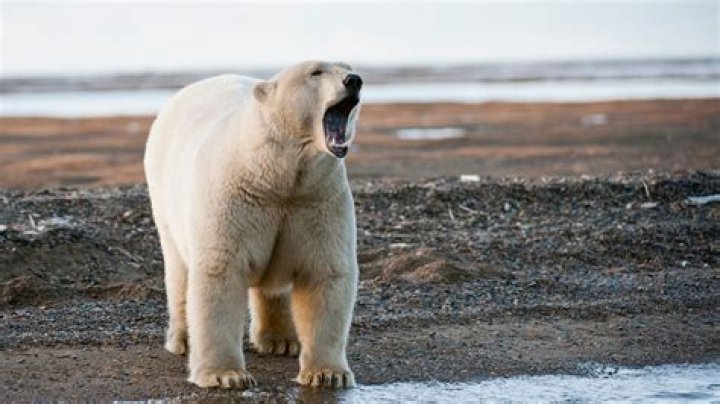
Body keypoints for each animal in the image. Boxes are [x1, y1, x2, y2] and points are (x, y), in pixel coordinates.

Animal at [143, 61, 363, 389]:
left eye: (347, 67)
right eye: (316, 72)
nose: (354, 80)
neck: (275, 173)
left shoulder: (316, 199)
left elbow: (326, 271)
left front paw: (328, 374)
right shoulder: (234, 198)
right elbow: (220, 270)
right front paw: (225, 375)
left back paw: (281, 340)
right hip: (165, 200)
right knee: (179, 270)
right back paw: (183, 338)